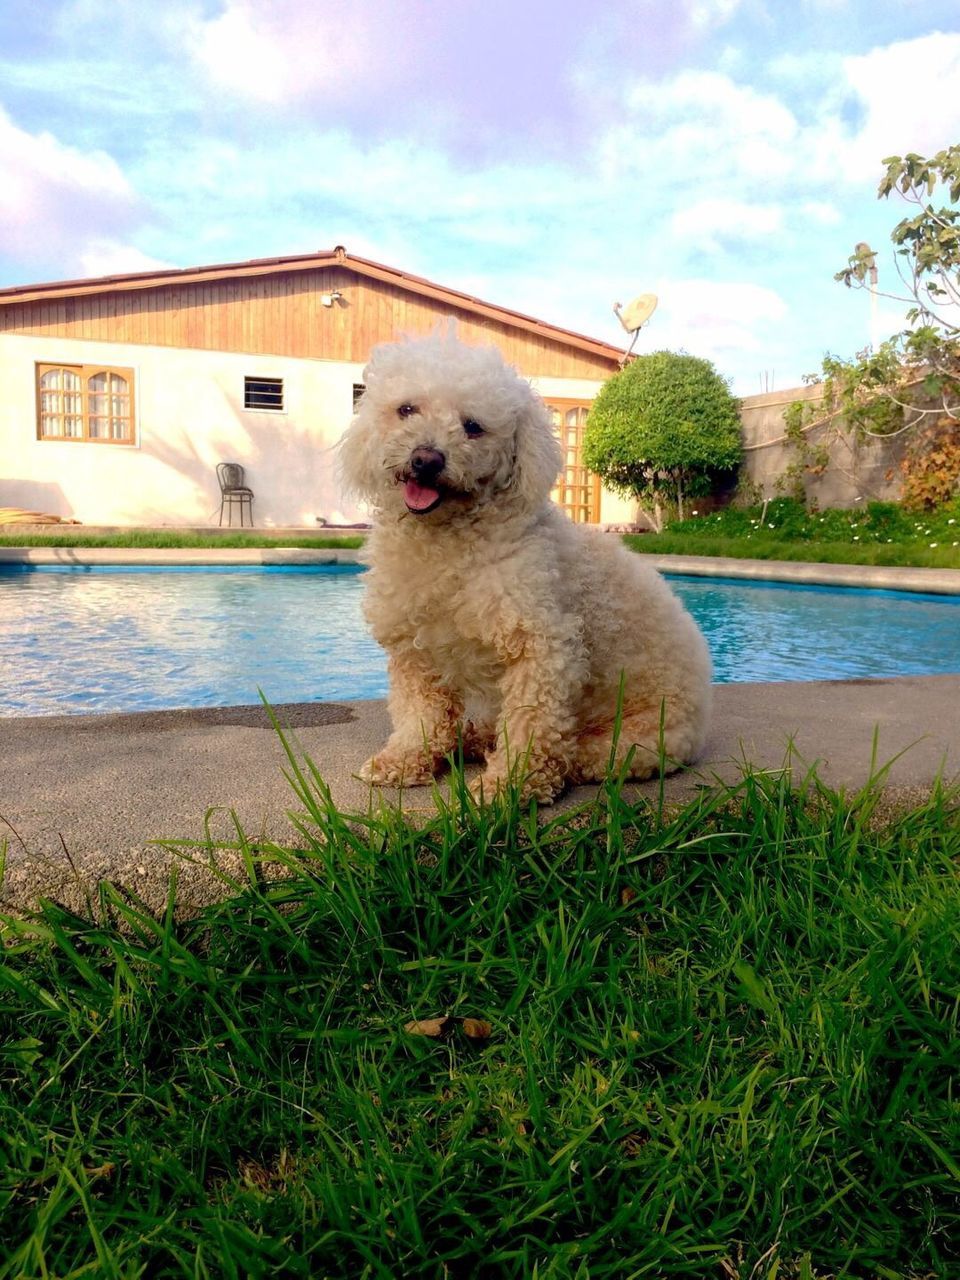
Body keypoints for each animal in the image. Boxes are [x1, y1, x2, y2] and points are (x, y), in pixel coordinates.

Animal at [337, 335, 716, 803]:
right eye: (407, 409)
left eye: (473, 426)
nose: (427, 459)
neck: (447, 545)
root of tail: (699, 723)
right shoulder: (414, 647)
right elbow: (418, 713)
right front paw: (405, 760)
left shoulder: (541, 645)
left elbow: (529, 723)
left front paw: (510, 785)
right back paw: (474, 739)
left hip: (644, 736)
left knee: (587, 752)